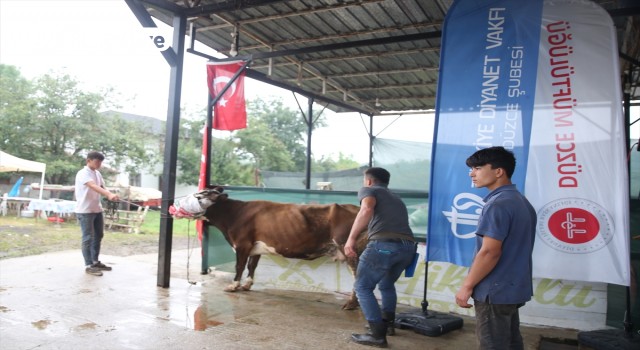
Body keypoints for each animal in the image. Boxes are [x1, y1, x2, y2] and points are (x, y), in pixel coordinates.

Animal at [191, 187, 364, 310]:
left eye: (202, 195)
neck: (234, 214)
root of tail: (356, 208)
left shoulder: (242, 244)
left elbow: (239, 266)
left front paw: (233, 286)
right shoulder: (255, 247)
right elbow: (252, 265)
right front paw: (247, 285)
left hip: (349, 249)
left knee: (358, 275)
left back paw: (351, 304)